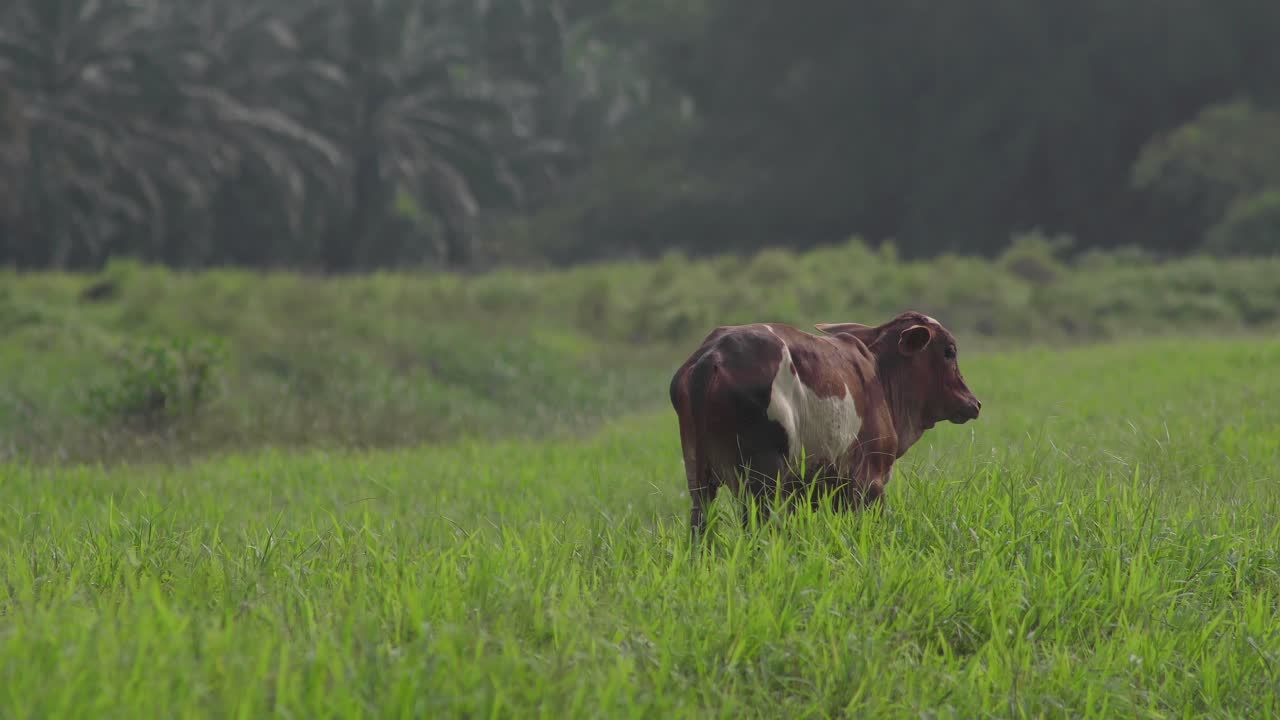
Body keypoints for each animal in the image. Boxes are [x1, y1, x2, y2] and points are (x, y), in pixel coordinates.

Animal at [668, 311, 981, 534]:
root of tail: (712, 356)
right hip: (764, 478)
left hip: (700, 476)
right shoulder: (870, 481)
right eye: (949, 351)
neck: (880, 374)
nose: (974, 402)